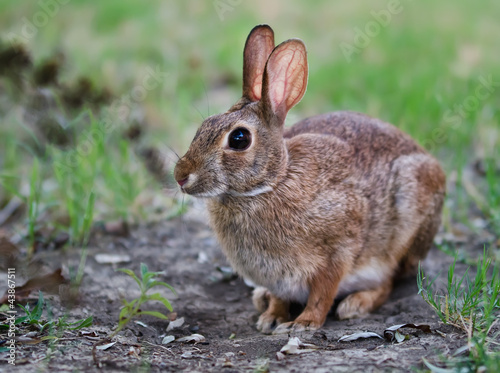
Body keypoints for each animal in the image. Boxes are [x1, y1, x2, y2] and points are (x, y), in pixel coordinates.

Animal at [173, 24, 446, 332]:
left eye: (239, 139)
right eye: (204, 126)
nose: (180, 176)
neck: (273, 182)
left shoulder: (337, 251)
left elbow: (323, 292)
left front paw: (302, 324)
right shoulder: (278, 277)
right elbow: (280, 296)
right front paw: (272, 319)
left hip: (401, 232)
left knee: (388, 281)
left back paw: (356, 304)